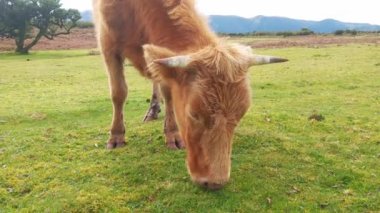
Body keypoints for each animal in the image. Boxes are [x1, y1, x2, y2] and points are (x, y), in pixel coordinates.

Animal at [93, 0, 288, 190]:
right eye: (193, 114)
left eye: (240, 114)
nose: (216, 182)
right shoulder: (107, 44)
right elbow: (119, 92)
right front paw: (116, 136)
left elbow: (169, 95)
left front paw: (172, 134)